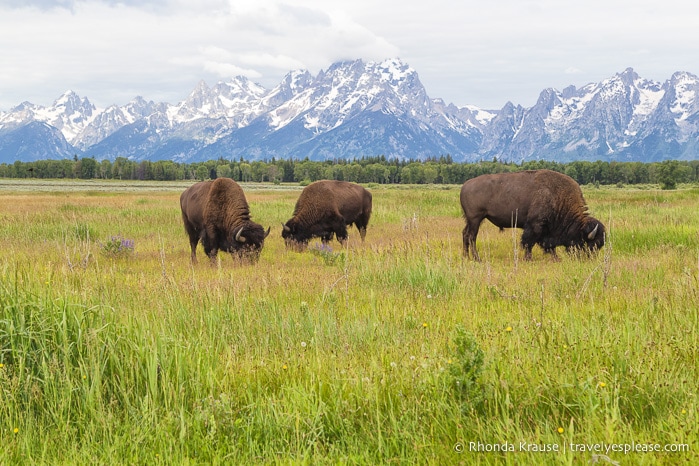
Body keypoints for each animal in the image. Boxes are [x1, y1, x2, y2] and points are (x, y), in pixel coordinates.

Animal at [462, 169, 604, 260]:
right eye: (591, 244)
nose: (590, 259)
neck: (558, 198)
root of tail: (464, 186)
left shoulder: (547, 229)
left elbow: (548, 245)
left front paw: (556, 257)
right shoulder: (535, 225)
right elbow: (529, 241)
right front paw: (528, 258)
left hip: (471, 220)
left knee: (465, 234)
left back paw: (465, 256)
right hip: (475, 219)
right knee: (472, 236)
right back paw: (477, 258)